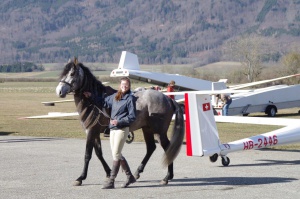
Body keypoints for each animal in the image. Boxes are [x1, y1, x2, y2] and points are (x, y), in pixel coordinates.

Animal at [55, 59, 184, 186]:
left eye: (72, 73)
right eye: (63, 73)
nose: (59, 91)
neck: (94, 103)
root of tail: (168, 99)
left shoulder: (91, 132)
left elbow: (88, 155)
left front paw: (81, 178)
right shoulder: (94, 133)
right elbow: (98, 153)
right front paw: (108, 172)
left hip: (159, 132)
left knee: (167, 148)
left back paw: (167, 177)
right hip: (147, 129)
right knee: (151, 148)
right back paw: (137, 173)